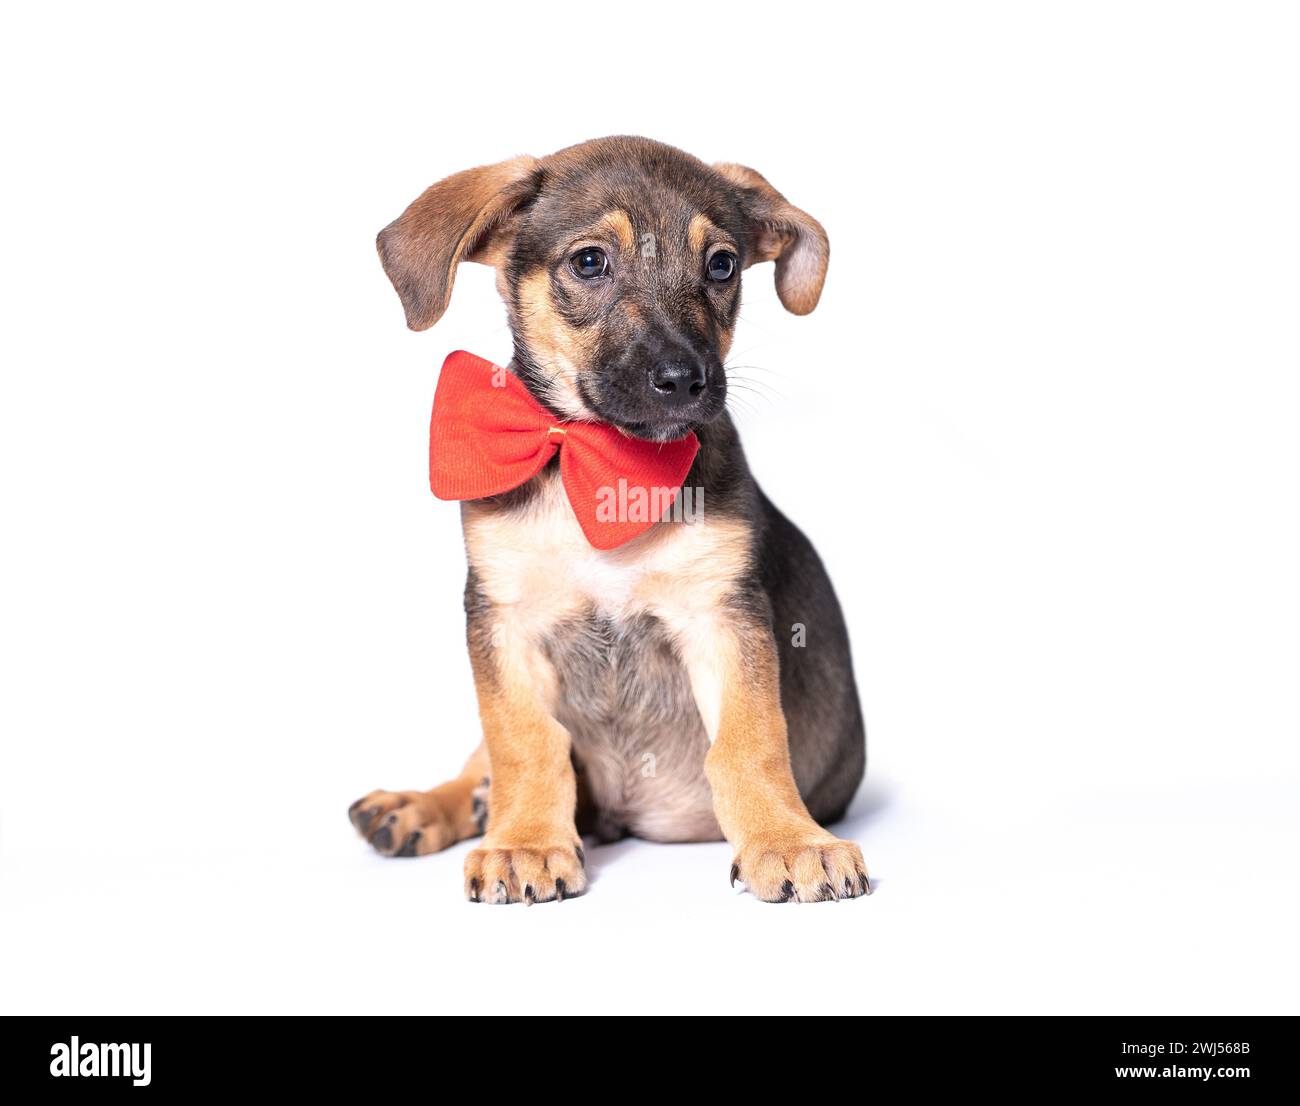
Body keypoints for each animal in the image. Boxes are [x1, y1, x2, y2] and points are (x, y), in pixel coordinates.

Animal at [351, 133, 868, 904]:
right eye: (590, 262)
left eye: (722, 265)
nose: (686, 380)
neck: (598, 464)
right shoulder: (502, 617)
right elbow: (522, 744)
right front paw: (526, 843)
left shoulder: (721, 613)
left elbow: (751, 742)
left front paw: (788, 840)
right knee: (482, 765)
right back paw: (423, 806)